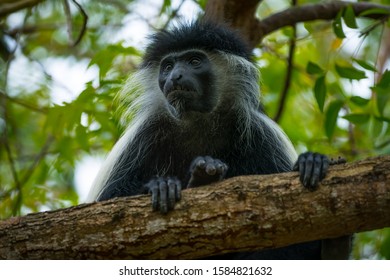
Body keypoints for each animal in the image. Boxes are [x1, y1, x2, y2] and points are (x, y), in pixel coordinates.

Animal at [87, 20, 350, 260]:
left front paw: (312, 162)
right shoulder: (142, 136)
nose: (175, 76)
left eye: (194, 61)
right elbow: (108, 210)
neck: (197, 122)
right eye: (168, 66)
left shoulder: (261, 133)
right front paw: (159, 186)